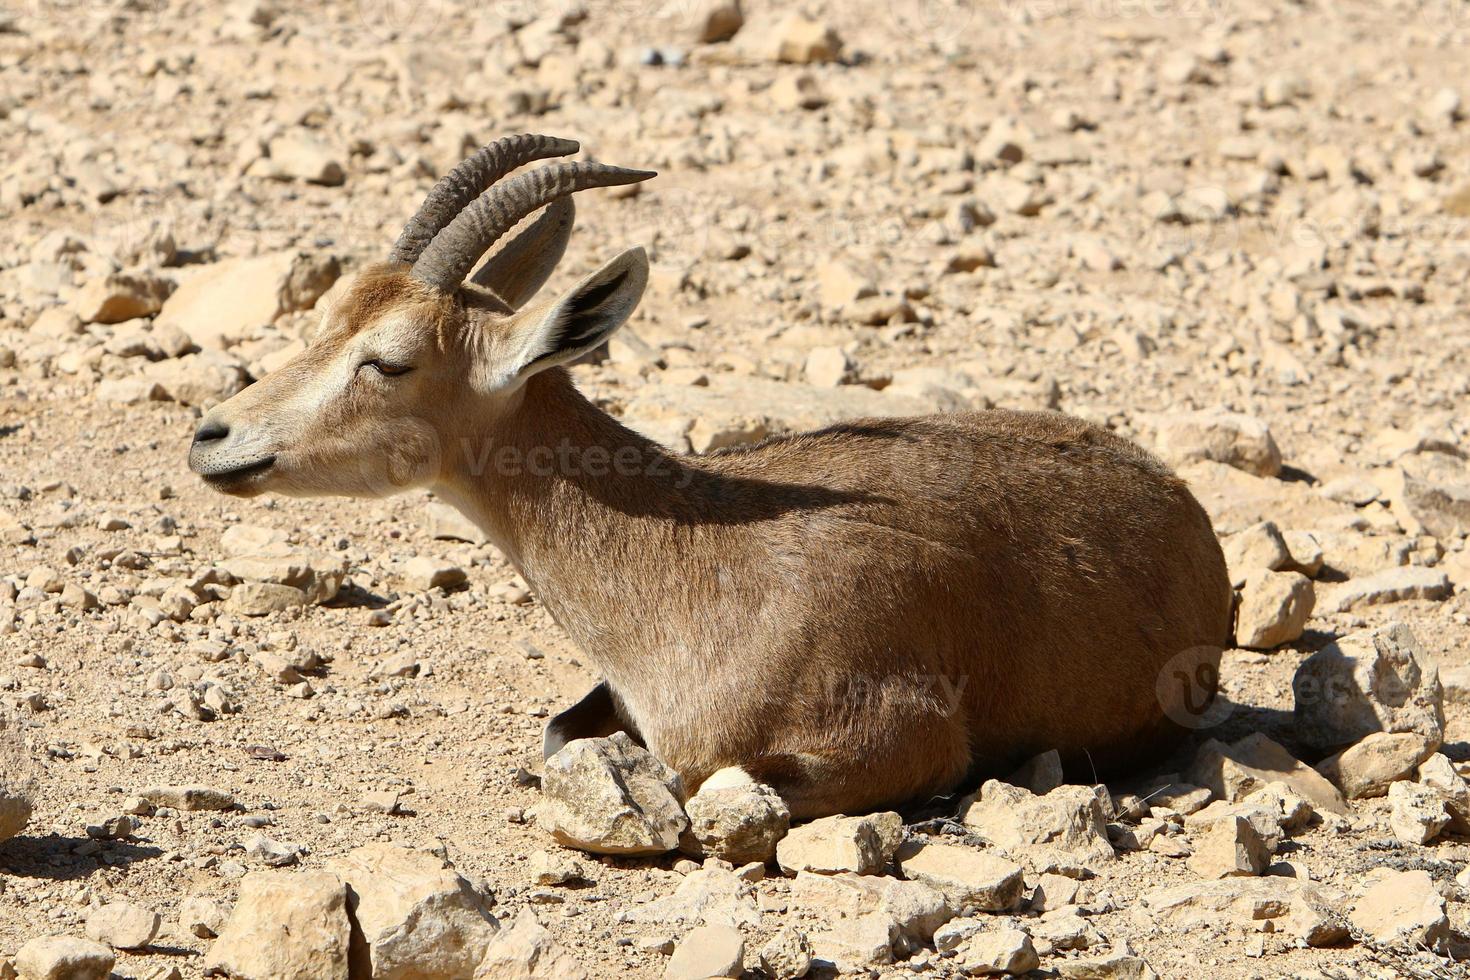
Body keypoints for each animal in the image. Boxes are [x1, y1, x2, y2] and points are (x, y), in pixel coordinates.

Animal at [189, 134, 1234, 816]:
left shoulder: (898, 738)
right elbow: (563, 736)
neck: (682, 562)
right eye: (328, 311)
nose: (213, 436)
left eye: (390, 360)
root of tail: (1178, 500)